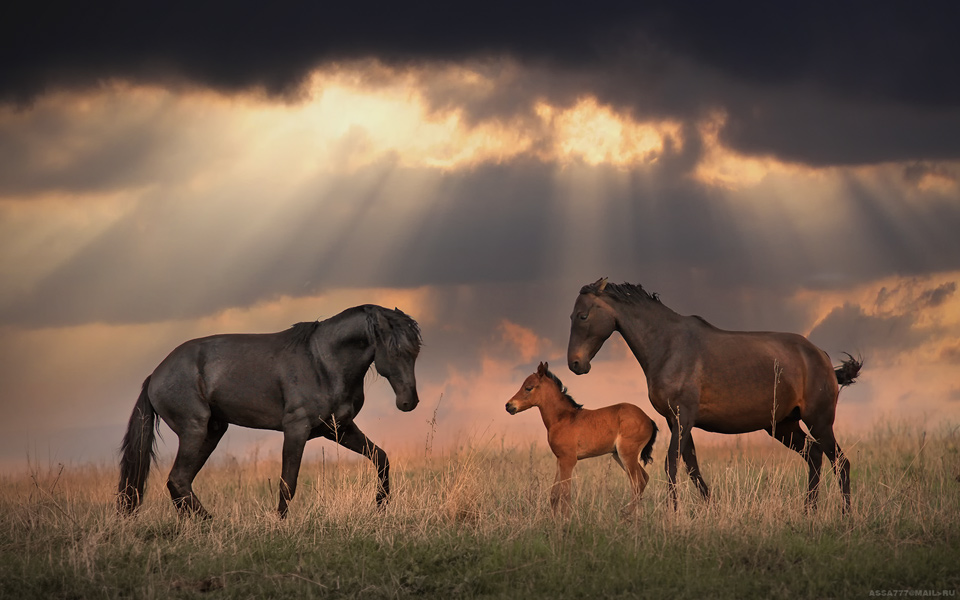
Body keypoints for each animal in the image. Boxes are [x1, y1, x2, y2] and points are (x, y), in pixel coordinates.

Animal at [116, 304, 420, 520]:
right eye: (395, 351)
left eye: (415, 352)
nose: (409, 402)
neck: (323, 363)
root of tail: (155, 376)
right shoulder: (296, 429)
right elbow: (288, 482)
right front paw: (280, 523)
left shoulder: (340, 429)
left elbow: (381, 459)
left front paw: (380, 506)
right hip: (194, 429)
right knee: (179, 480)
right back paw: (210, 523)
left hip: (212, 431)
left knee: (179, 483)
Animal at [502, 360, 660, 516]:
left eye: (528, 388)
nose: (508, 406)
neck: (562, 418)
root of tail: (648, 419)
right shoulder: (560, 459)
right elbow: (554, 494)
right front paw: (554, 520)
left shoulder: (569, 460)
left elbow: (565, 493)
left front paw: (565, 520)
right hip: (618, 455)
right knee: (644, 478)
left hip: (627, 453)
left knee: (638, 482)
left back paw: (628, 517)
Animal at [568, 278, 868, 512]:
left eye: (583, 316)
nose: (575, 364)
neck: (669, 346)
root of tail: (821, 356)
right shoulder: (675, 420)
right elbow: (691, 466)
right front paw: (709, 508)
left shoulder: (683, 417)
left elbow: (671, 464)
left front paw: (673, 513)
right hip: (784, 426)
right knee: (815, 456)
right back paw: (809, 511)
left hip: (819, 422)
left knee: (840, 463)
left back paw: (845, 516)